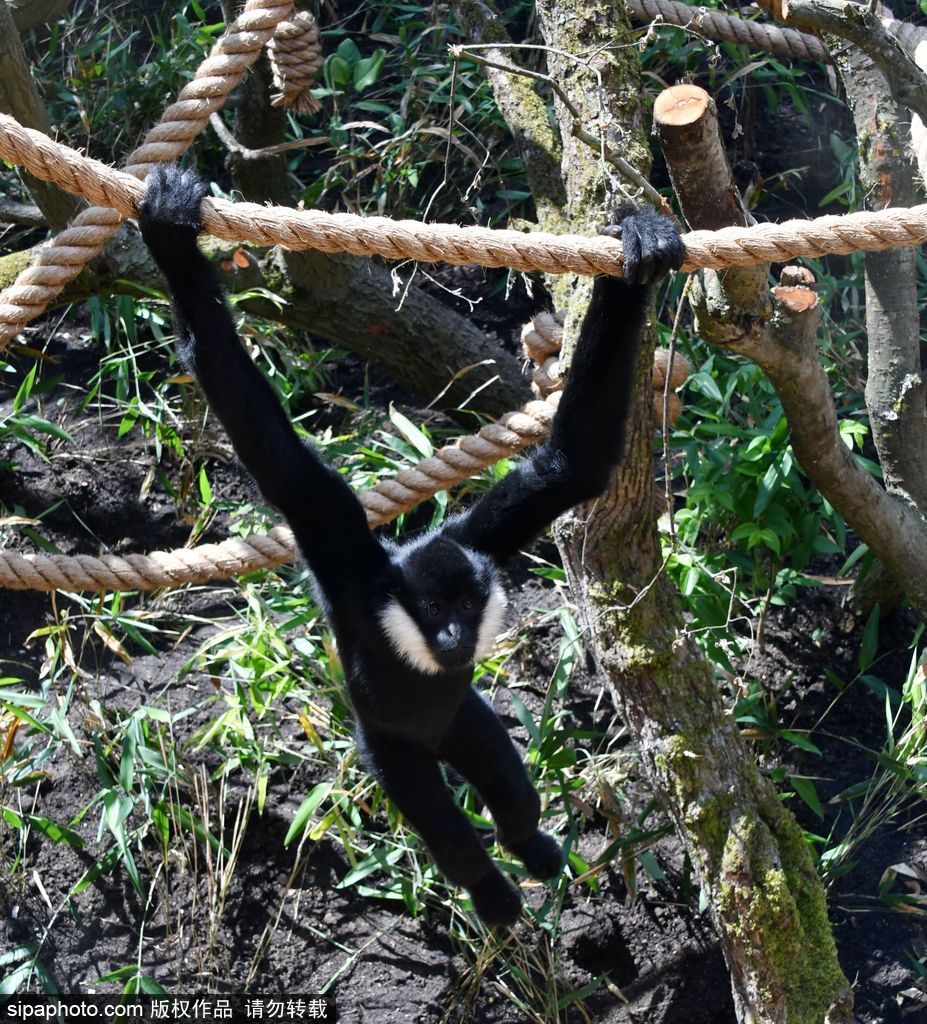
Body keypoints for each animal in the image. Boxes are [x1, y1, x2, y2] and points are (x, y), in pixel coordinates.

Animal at [137, 166, 685, 927]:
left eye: (466, 604)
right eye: (432, 611)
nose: (454, 636)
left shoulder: (486, 539)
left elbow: (571, 465)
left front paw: (640, 245)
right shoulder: (341, 551)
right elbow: (274, 451)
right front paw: (171, 239)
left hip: (462, 718)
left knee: (507, 785)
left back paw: (530, 844)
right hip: (392, 748)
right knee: (445, 827)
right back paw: (491, 890)